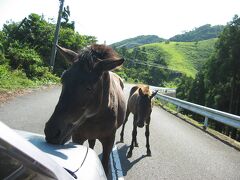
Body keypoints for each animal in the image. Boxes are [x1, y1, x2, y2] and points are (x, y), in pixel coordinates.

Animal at [44, 43, 126, 174]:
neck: (96, 118)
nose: (51, 132)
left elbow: (105, 165)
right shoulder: (77, 137)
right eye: (63, 79)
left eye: (89, 88)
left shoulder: (109, 141)